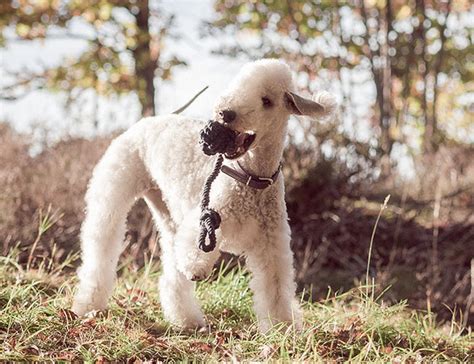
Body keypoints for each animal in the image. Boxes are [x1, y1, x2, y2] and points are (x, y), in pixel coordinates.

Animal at [71, 58, 336, 332]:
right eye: (237, 85)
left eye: (267, 101)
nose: (226, 113)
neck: (250, 178)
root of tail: (147, 120)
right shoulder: (206, 219)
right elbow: (194, 249)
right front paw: (196, 267)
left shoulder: (272, 246)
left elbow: (275, 289)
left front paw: (282, 328)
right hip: (112, 195)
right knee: (100, 251)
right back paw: (87, 306)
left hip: (167, 214)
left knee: (171, 272)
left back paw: (185, 320)